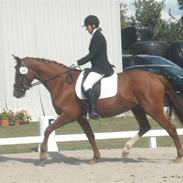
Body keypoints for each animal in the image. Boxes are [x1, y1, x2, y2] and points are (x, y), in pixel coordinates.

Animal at [12, 55, 183, 163]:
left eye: (19, 73)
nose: (16, 93)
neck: (62, 83)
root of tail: (157, 76)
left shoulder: (69, 115)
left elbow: (48, 129)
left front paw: (43, 153)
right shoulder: (80, 117)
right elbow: (90, 135)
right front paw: (95, 157)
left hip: (153, 109)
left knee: (171, 128)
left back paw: (178, 156)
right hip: (138, 108)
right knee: (145, 127)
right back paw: (125, 150)